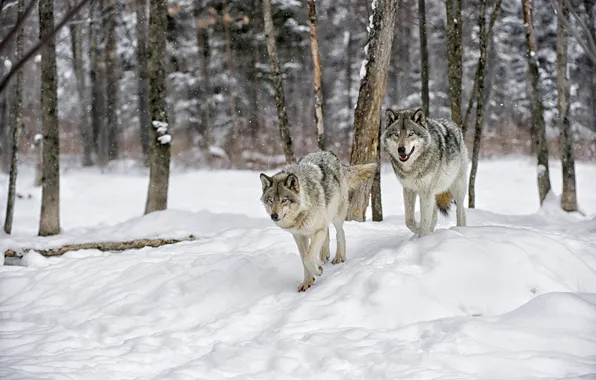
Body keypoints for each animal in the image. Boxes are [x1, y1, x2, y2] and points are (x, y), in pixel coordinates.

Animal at [258, 151, 374, 290]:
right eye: (270, 200)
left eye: (284, 200)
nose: (274, 216)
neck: (302, 211)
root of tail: (329, 153)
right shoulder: (299, 236)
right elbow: (304, 258)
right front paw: (307, 282)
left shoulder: (317, 230)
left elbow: (308, 259)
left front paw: (318, 270)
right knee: (328, 233)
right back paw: (324, 255)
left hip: (336, 215)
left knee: (340, 232)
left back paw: (339, 257)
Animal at [382, 107, 470, 238]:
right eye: (396, 134)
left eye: (411, 134)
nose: (401, 149)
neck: (411, 168)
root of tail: (454, 123)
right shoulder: (408, 189)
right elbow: (409, 220)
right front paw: (419, 230)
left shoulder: (425, 192)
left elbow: (424, 221)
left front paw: (422, 238)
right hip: (434, 194)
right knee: (434, 216)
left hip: (457, 188)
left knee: (461, 212)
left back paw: (460, 230)